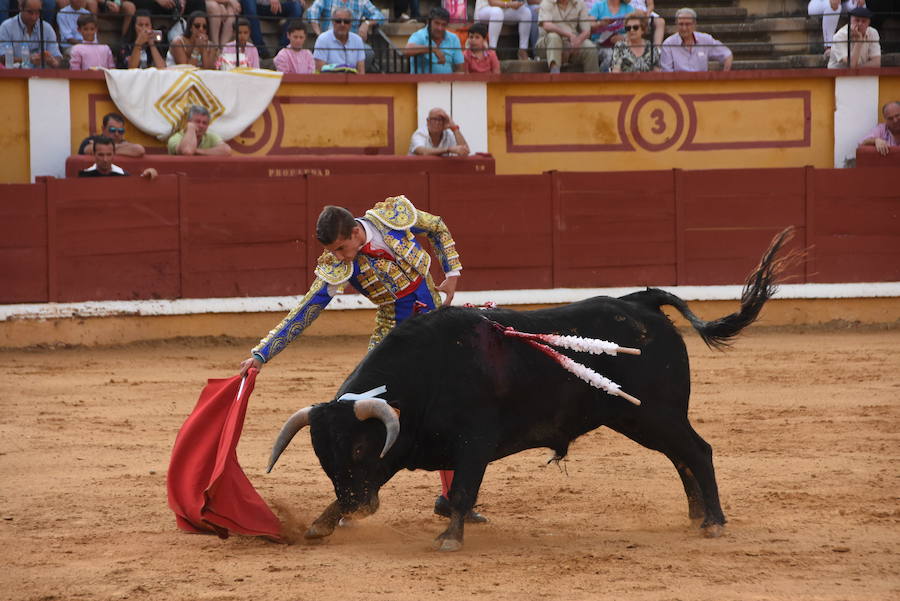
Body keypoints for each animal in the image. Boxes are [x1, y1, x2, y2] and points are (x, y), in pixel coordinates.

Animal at [268, 227, 796, 552]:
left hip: (658, 413)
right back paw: (695, 516)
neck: (426, 374)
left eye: (360, 447)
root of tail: (641, 302)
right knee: (681, 456)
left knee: (697, 451)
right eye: (324, 455)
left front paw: (449, 538)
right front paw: (319, 524)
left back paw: (714, 522)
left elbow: (463, 490)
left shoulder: (474, 442)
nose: (358, 508)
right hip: (637, 418)